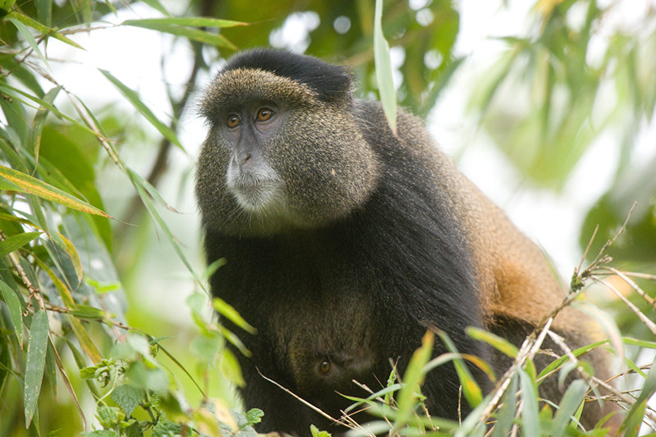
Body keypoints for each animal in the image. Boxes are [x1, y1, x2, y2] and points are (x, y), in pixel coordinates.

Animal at [197, 49, 616, 434]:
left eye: (265, 114)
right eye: (231, 121)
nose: (241, 158)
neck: (302, 227)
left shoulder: (401, 193)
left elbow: (447, 359)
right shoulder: (225, 239)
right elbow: (262, 379)